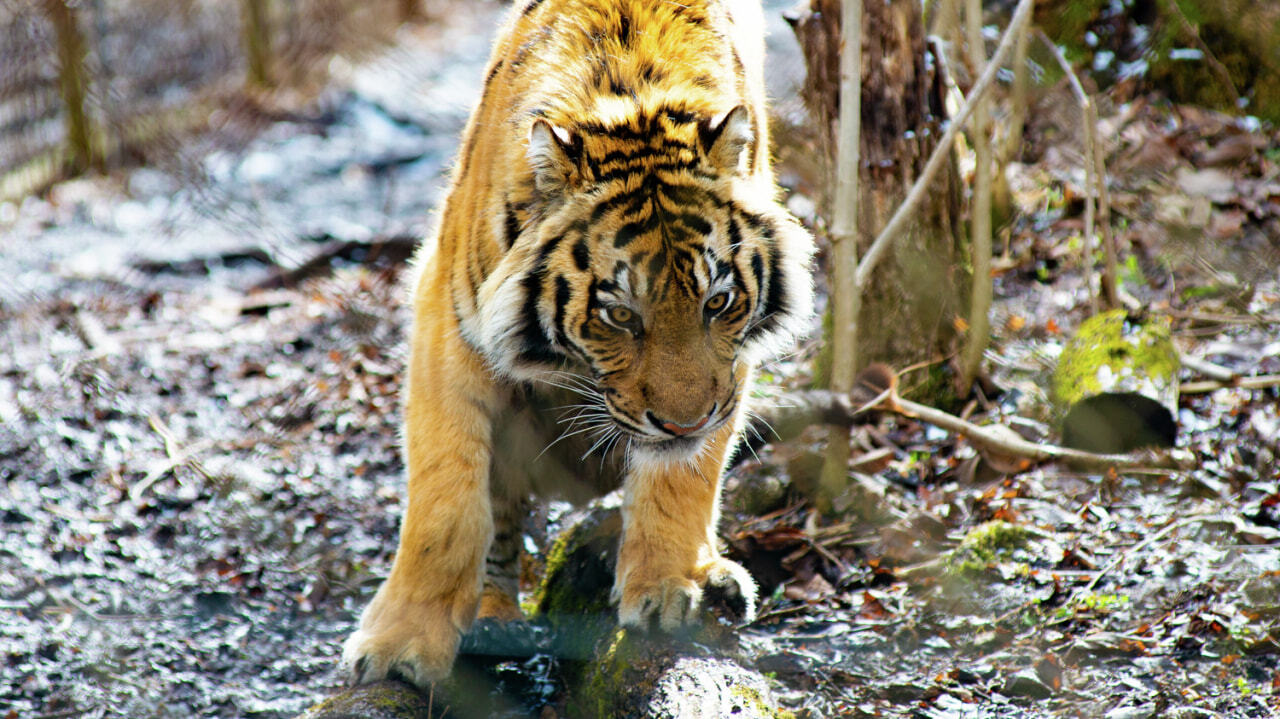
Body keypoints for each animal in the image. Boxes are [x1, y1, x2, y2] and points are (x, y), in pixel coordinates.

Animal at [345, 0, 814, 685]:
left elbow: (687, 474)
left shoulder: (729, 372)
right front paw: (399, 645)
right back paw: (493, 618)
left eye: (717, 303)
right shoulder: (445, 321)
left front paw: (669, 585)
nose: (684, 422)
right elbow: (446, 501)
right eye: (620, 316)